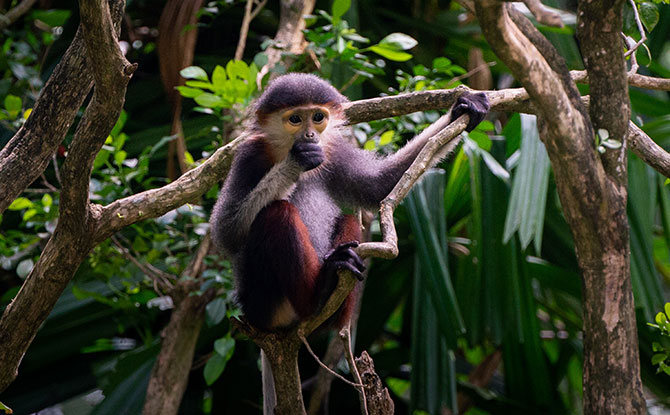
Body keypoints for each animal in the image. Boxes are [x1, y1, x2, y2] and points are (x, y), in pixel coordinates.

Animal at [210, 71, 488, 332]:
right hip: (264, 303)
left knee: (348, 218)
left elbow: (379, 186)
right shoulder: (249, 155)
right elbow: (226, 231)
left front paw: (463, 109)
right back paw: (319, 295)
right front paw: (295, 162)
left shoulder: (333, 151)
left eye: (318, 117)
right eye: (295, 119)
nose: (310, 135)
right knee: (277, 212)